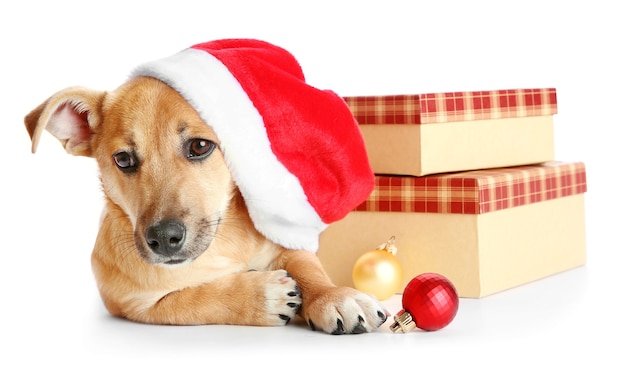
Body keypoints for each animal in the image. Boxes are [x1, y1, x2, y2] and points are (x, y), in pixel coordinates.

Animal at [24, 38, 388, 334]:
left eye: (200, 146)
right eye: (123, 160)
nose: (164, 239)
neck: (219, 245)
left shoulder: (281, 245)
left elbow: (307, 264)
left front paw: (335, 297)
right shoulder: (136, 303)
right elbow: (191, 300)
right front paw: (261, 296)